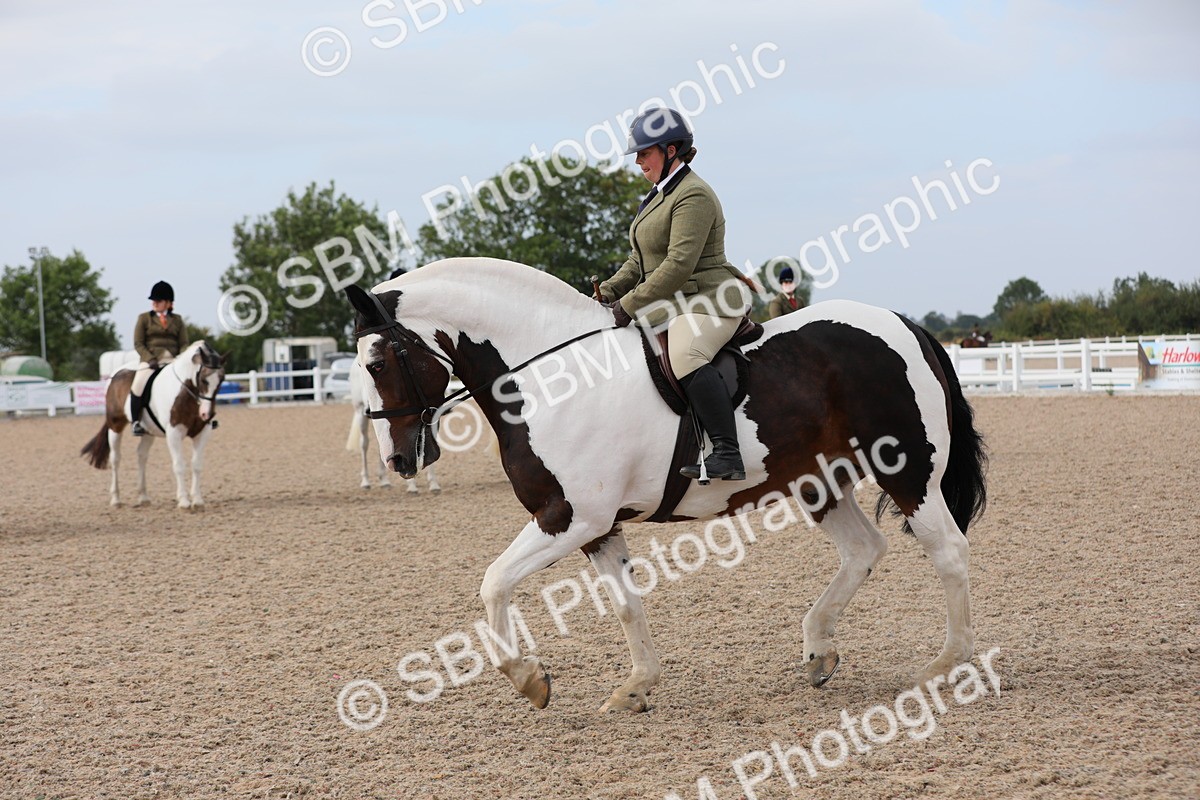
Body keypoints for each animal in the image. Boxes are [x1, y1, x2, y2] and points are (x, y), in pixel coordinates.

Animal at [80, 341, 226, 509]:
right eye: (203, 380)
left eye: (222, 381)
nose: (207, 414)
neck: (185, 392)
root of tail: (115, 375)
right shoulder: (174, 433)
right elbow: (179, 465)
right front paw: (183, 501)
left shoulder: (202, 432)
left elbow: (196, 465)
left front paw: (197, 500)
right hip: (115, 426)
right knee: (115, 459)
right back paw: (116, 499)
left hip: (148, 431)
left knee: (141, 456)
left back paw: (143, 497)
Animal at [346, 357, 440, 493]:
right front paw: (412, 486)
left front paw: (433, 484)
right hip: (360, 414)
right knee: (364, 444)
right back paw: (365, 481)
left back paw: (384, 481)